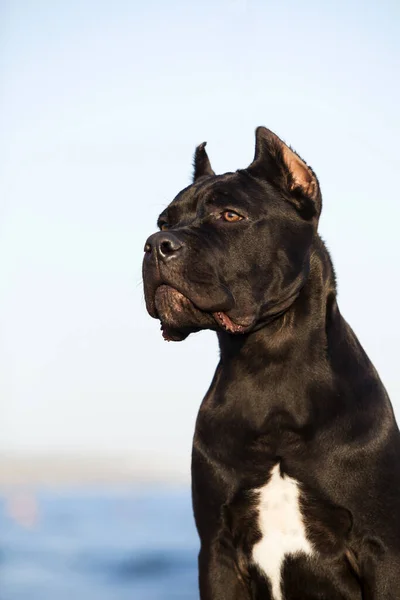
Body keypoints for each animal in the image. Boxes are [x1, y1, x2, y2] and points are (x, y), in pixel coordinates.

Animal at [142, 129, 398, 596]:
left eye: (230, 215)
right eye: (165, 222)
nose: (156, 244)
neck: (268, 365)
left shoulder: (382, 548)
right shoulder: (217, 550)